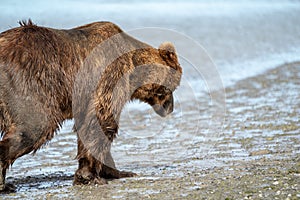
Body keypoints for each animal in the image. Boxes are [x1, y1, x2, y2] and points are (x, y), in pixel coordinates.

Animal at [0, 19, 182, 191]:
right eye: (173, 87)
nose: (170, 108)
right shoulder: (108, 78)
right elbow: (101, 122)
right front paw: (89, 176)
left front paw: (117, 172)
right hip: (29, 84)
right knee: (35, 126)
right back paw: (5, 184)